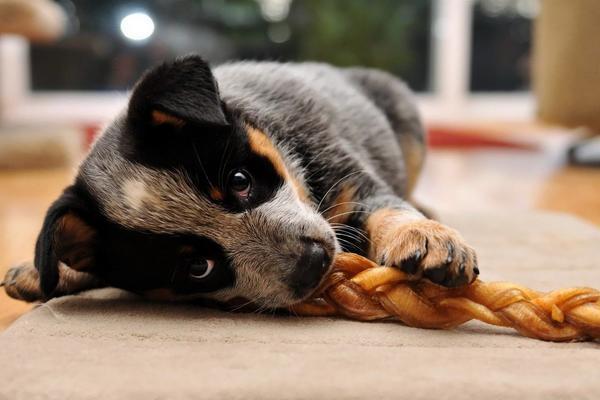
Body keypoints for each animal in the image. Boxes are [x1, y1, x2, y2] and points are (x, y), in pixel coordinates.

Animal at [2, 55, 478, 306]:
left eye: (239, 180)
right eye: (198, 267)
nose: (314, 261)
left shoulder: (352, 179)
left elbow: (389, 207)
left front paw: (427, 236)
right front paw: (45, 271)